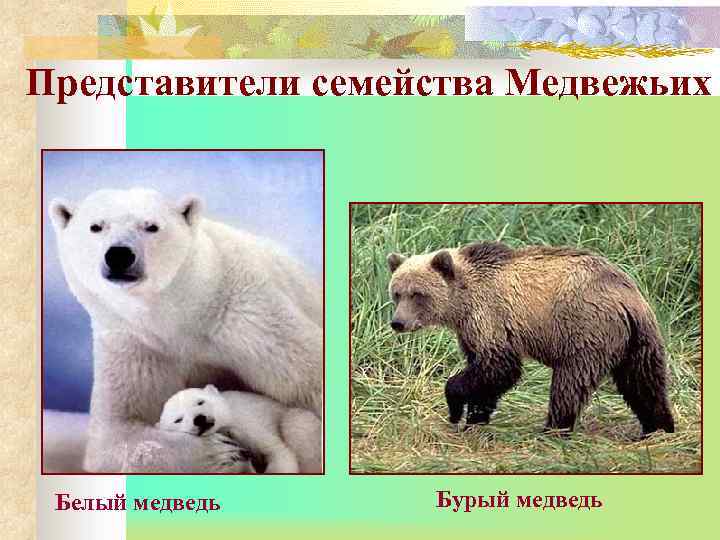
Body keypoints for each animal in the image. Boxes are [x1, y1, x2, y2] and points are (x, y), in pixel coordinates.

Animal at [386, 242, 675, 437]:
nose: (397, 322)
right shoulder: (470, 331)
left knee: (569, 383)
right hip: (639, 339)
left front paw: (456, 409)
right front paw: (476, 418)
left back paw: (553, 430)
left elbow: (499, 367)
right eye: (397, 293)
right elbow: (484, 373)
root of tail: (627, 297)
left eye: (418, 294)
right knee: (644, 381)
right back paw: (658, 427)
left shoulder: (491, 317)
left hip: (585, 331)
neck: (462, 303)